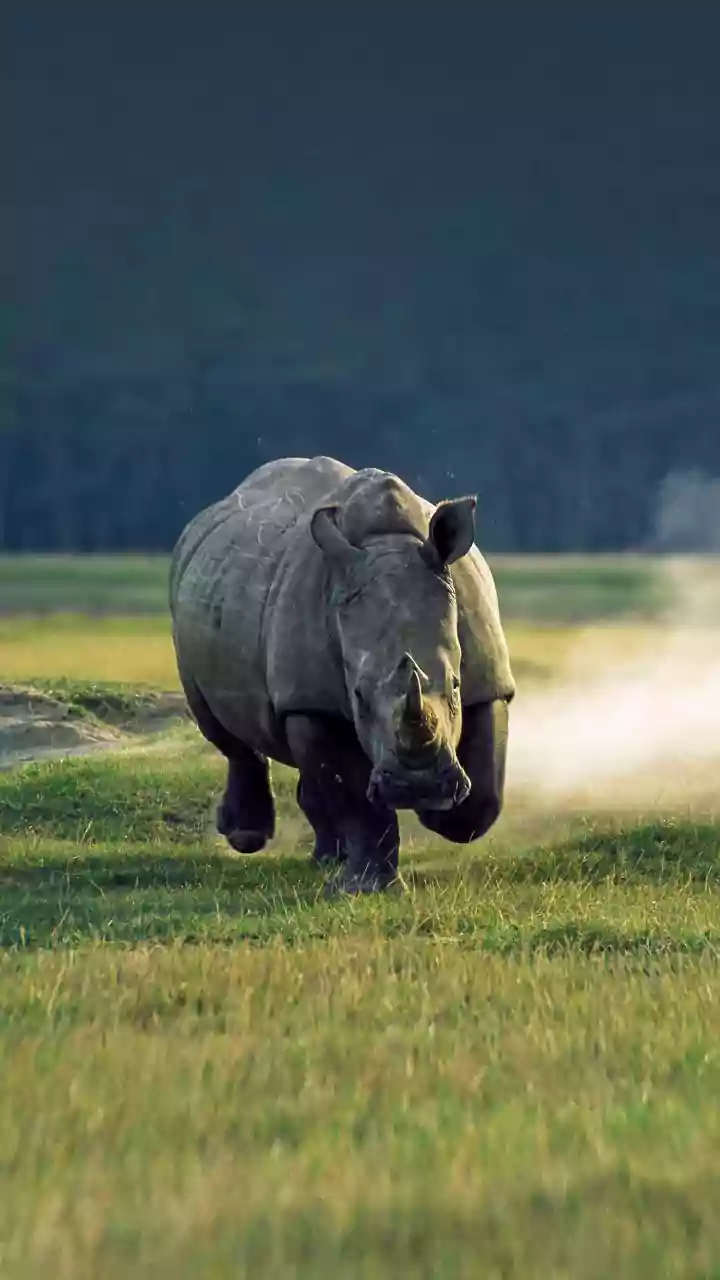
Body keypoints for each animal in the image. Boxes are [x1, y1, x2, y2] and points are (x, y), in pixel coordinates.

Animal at [170, 456, 515, 893]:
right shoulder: (312, 701)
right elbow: (355, 800)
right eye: (359, 698)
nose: (416, 785)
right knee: (222, 731)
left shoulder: (487, 681)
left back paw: (328, 859)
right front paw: (367, 888)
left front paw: (441, 812)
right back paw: (249, 837)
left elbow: (483, 795)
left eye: (456, 685)